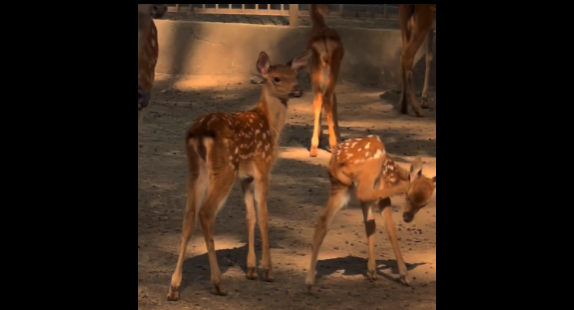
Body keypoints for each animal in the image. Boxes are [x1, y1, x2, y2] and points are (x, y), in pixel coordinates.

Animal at [169, 50, 312, 300]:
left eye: (295, 75)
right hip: (224, 169)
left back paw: (174, 287)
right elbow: (263, 215)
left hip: (196, 170)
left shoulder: (245, 177)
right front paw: (268, 271)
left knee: (188, 216)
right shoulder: (263, 167)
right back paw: (218, 283)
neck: (270, 125)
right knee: (205, 212)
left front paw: (252, 269)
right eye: (276, 78)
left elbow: (250, 216)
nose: (298, 90)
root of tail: (200, 132)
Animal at [306, 4, 346, 159]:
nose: (330, 8)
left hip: (315, 72)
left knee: (318, 99)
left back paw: (314, 148)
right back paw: (333, 144)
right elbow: (335, 102)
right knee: (327, 99)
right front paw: (339, 137)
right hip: (333, 70)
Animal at [306, 136, 436, 290]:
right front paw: (404, 276)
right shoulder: (384, 197)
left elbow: (370, 225)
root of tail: (336, 163)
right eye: (408, 197)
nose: (407, 218)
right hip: (369, 168)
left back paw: (310, 280)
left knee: (323, 221)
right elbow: (390, 230)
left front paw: (372, 271)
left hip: (339, 187)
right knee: (363, 193)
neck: (395, 175)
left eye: (424, 204)